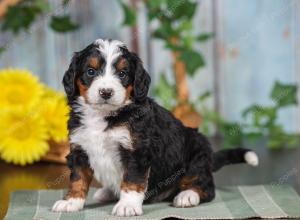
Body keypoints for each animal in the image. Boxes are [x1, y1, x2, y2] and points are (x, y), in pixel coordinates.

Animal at [51, 38, 258, 216]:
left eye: (122, 74)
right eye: (91, 71)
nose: (106, 92)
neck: (104, 116)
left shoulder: (137, 151)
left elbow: (132, 180)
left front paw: (127, 205)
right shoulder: (79, 148)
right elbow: (78, 178)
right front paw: (71, 201)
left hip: (196, 155)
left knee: (206, 187)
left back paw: (187, 195)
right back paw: (107, 192)